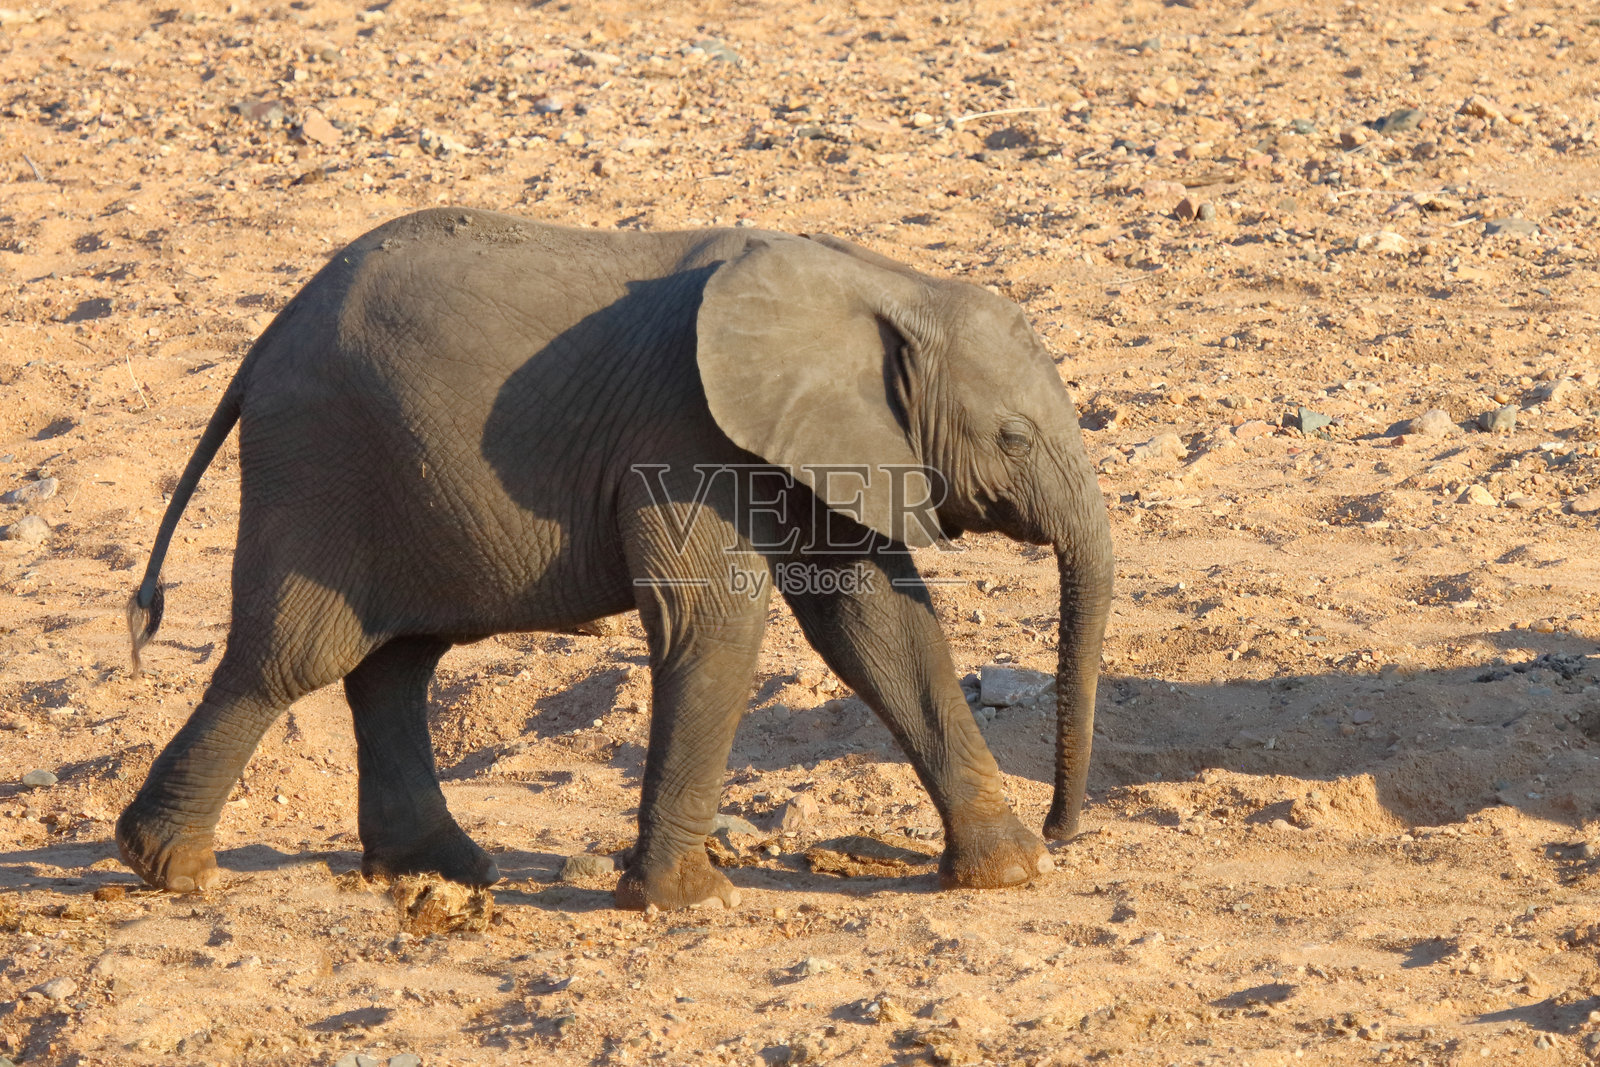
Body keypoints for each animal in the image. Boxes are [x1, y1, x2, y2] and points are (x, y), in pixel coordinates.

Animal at [115, 208, 1114, 911]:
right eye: (1015, 438)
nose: (1068, 829)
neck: (881, 283)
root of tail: (265, 341)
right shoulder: (686, 436)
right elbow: (716, 621)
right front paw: (689, 901)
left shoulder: (832, 441)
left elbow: (880, 623)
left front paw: (1011, 870)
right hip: (323, 455)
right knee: (292, 657)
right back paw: (170, 869)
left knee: (393, 663)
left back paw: (447, 867)